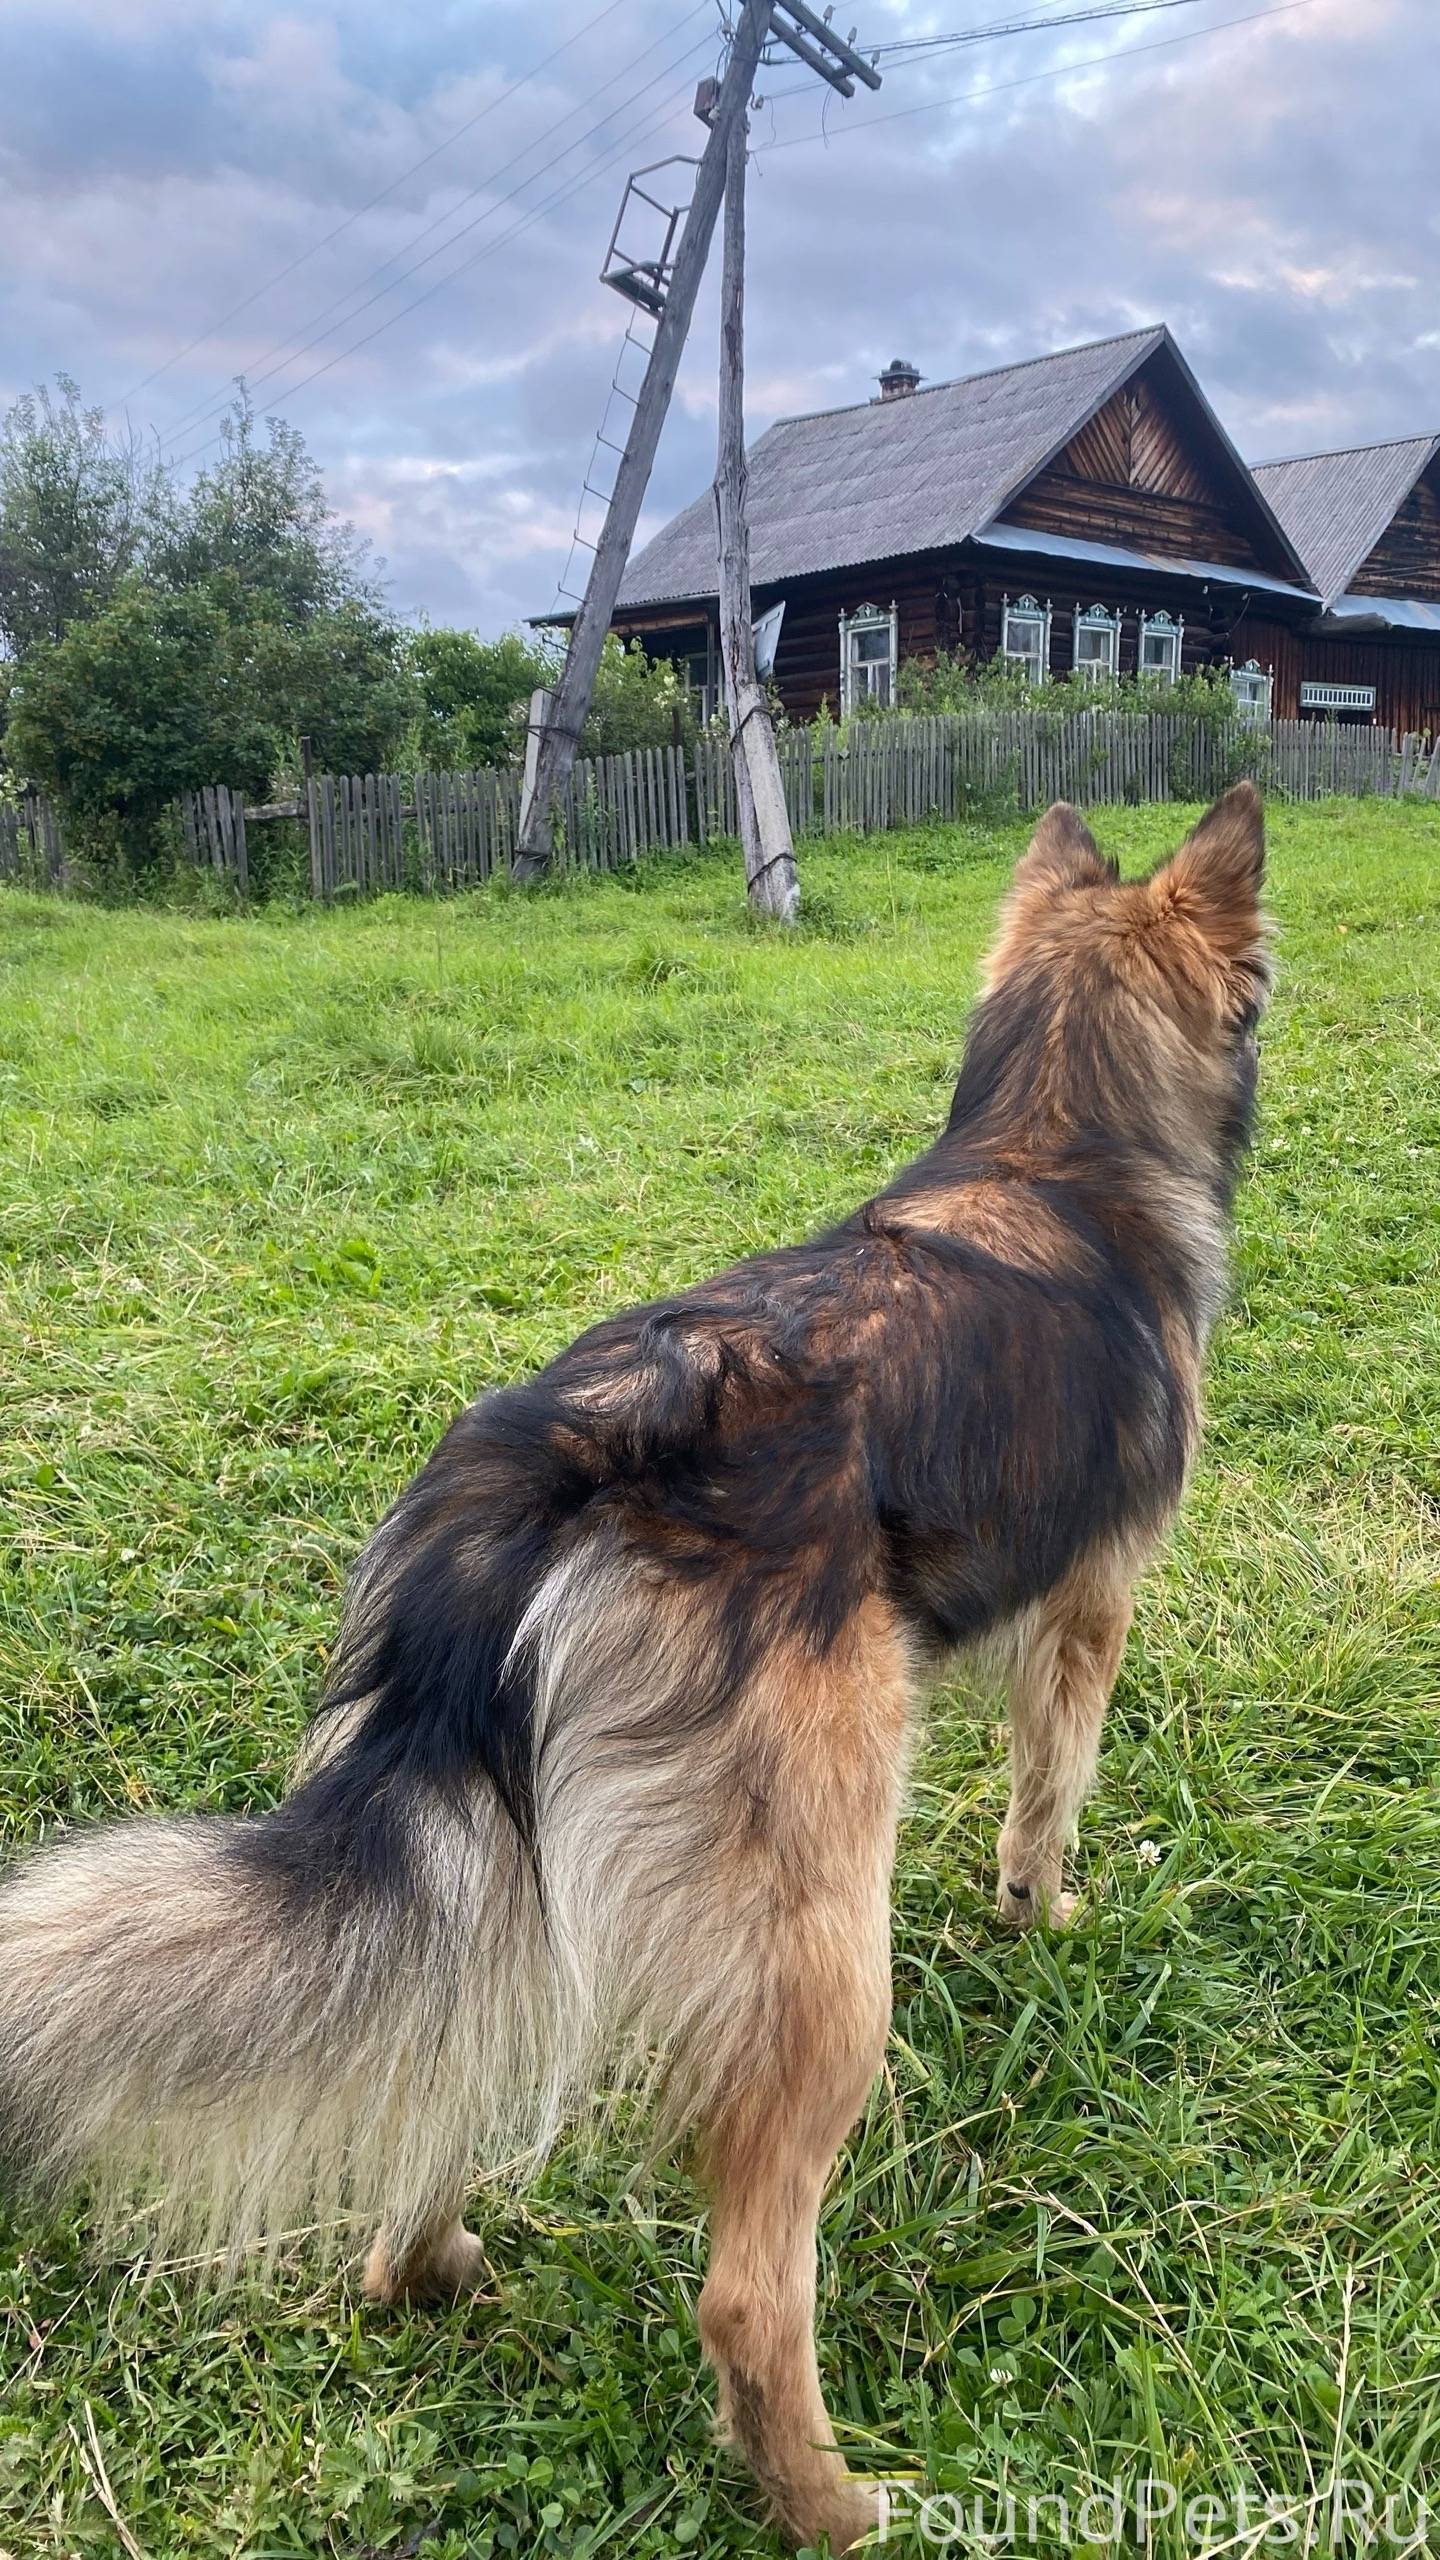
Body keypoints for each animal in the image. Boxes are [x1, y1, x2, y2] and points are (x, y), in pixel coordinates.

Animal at [0, 787, 1268, 2552]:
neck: (1055, 1145)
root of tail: (579, 1444)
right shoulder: (1091, 1616)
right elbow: (1047, 1797)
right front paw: (1050, 1915)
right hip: (819, 1951)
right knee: (748, 2296)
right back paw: (840, 2504)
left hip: (494, 1868)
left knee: (434, 2065)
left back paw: (424, 2271)